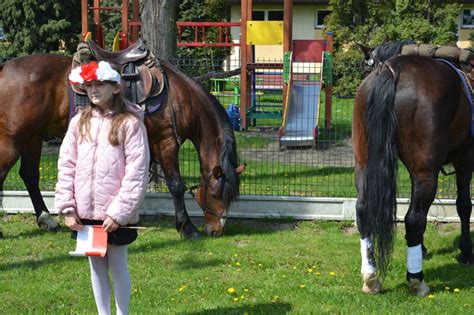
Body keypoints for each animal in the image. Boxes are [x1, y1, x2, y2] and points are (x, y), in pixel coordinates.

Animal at [0, 52, 244, 239]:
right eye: (215, 194)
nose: (216, 230)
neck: (179, 97)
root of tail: (4, 68)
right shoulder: (166, 142)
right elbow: (176, 185)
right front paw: (187, 228)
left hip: (32, 138)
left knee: (29, 175)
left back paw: (46, 219)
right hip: (13, 140)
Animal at [354, 53, 472, 298]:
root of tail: (392, 69)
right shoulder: (466, 156)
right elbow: (464, 205)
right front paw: (466, 252)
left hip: (364, 163)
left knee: (363, 210)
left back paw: (371, 276)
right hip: (426, 172)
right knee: (414, 219)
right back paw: (417, 280)